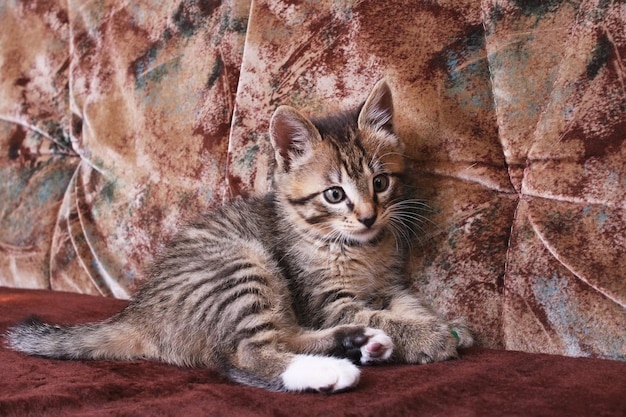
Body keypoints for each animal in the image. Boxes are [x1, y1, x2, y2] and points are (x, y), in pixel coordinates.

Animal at [3, 80, 468, 394]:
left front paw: (445, 326)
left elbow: (404, 305)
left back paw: (358, 343)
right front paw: (431, 337)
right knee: (241, 355)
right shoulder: (324, 300)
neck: (359, 249)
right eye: (335, 194)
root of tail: (140, 312)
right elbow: (375, 314)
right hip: (239, 266)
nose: (369, 217)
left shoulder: (388, 284)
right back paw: (330, 368)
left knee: (282, 334)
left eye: (381, 182)